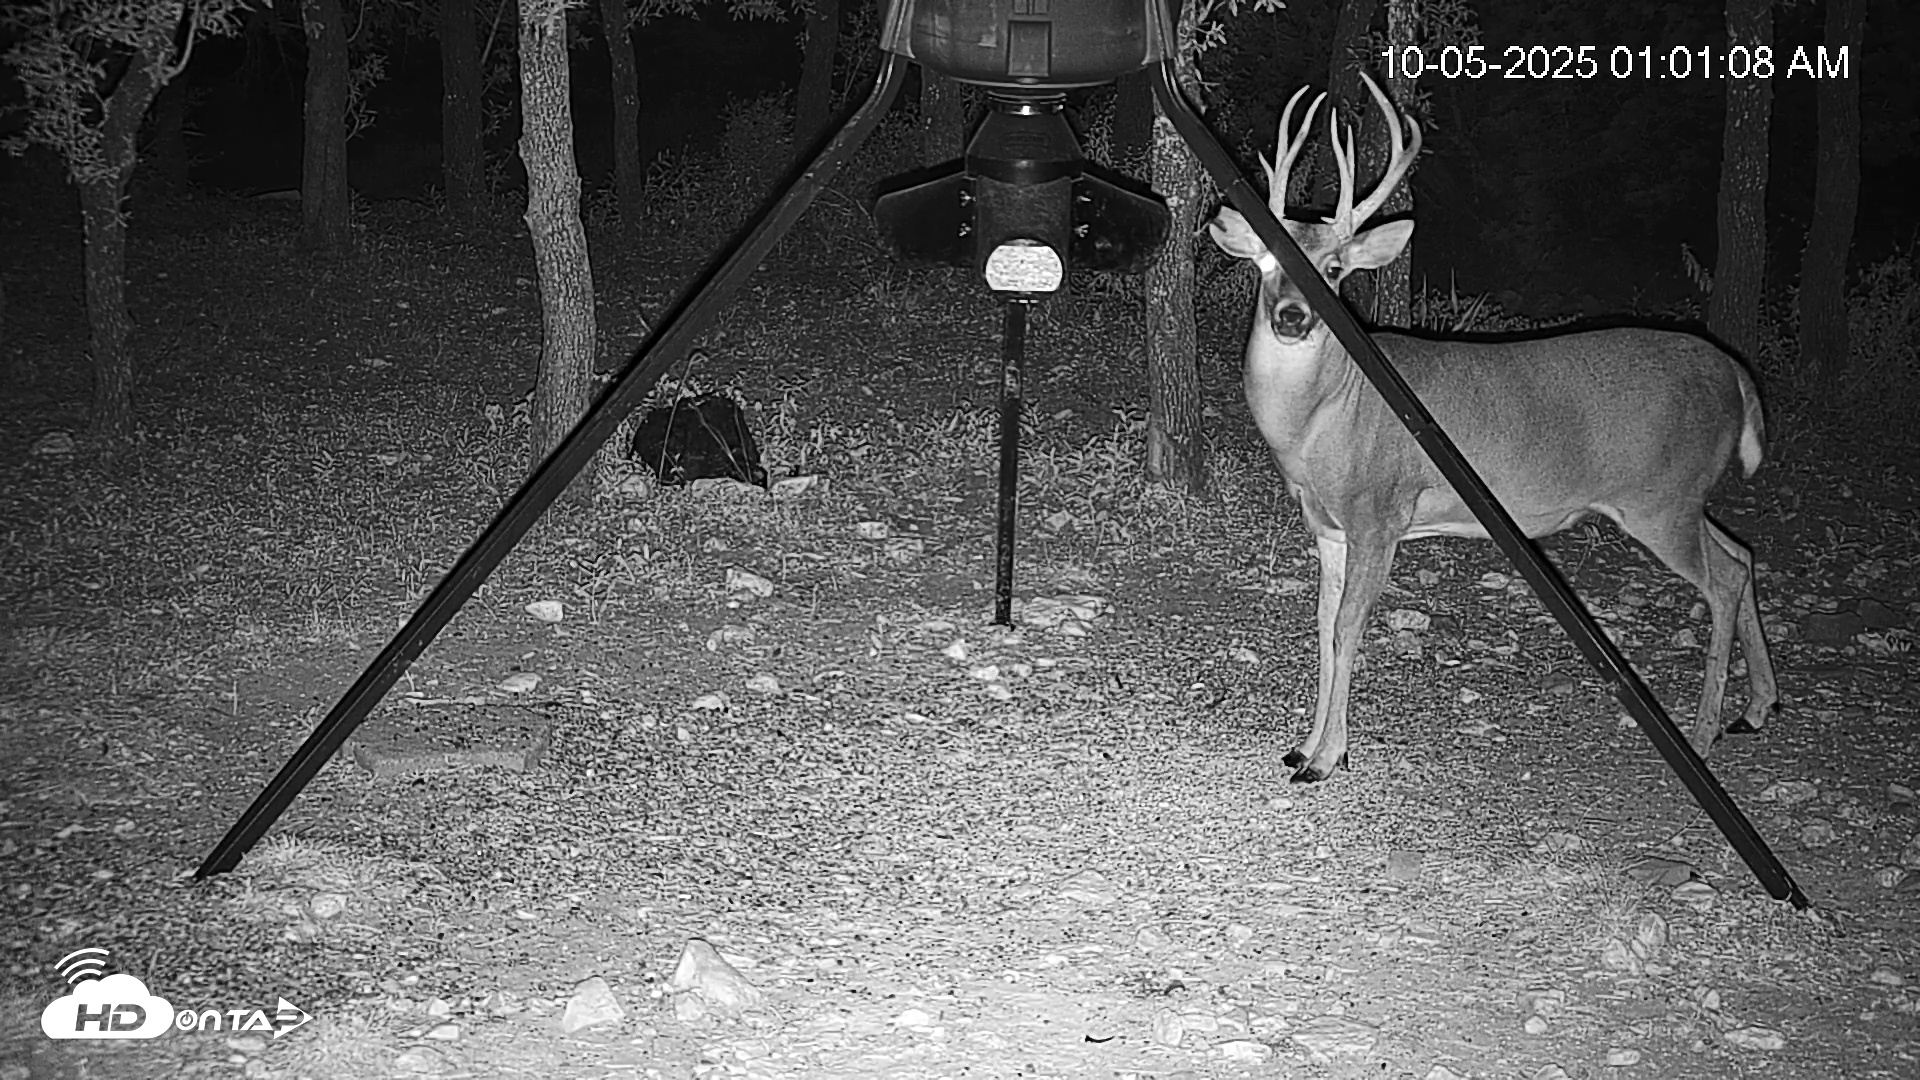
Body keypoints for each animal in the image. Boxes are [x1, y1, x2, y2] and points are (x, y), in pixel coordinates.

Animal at [1208, 73, 1779, 783]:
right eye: (1262, 261)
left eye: (1334, 270)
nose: (1291, 316)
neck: (1322, 422)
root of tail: (1734, 371)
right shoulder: (1328, 525)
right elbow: (1320, 625)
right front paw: (1302, 746)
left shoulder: (1380, 514)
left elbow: (1347, 630)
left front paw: (1327, 759)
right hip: (1684, 496)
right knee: (1743, 553)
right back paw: (1758, 708)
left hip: (1662, 499)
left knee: (1724, 578)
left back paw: (1703, 736)